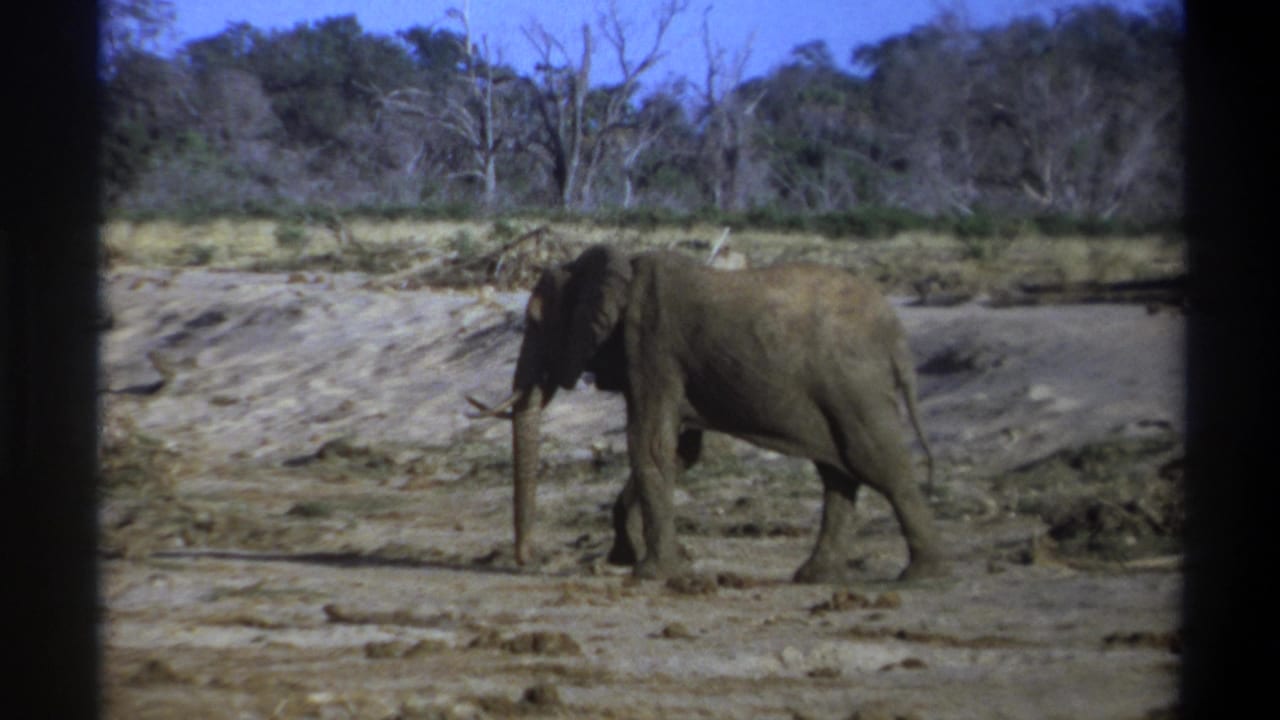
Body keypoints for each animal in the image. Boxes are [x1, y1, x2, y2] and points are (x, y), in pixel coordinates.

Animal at [468, 244, 945, 583]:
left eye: (533, 322)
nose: (526, 561)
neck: (617, 266)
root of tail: (896, 334)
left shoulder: (651, 343)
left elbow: (649, 444)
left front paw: (652, 573)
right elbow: (678, 452)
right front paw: (630, 558)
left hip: (853, 386)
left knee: (877, 464)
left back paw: (920, 575)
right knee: (838, 475)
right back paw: (814, 577)